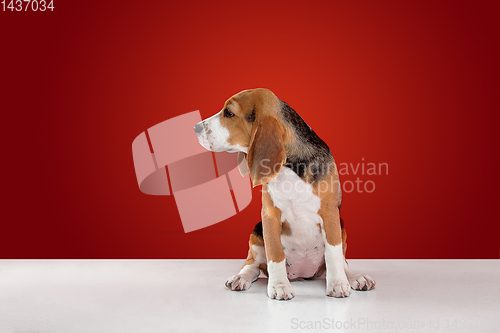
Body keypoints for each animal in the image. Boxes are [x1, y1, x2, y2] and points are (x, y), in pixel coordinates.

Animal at [193, 87, 374, 298]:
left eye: (229, 113)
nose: (195, 128)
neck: (290, 169)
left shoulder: (330, 213)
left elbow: (333, 253)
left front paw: (337, 283)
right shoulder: (269, 215)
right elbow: (275, 253)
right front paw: (279, 285)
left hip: (341, 224)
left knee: (342, 261)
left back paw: (355, 277)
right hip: (256, 232)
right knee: (252, 265)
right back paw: (241, 277)